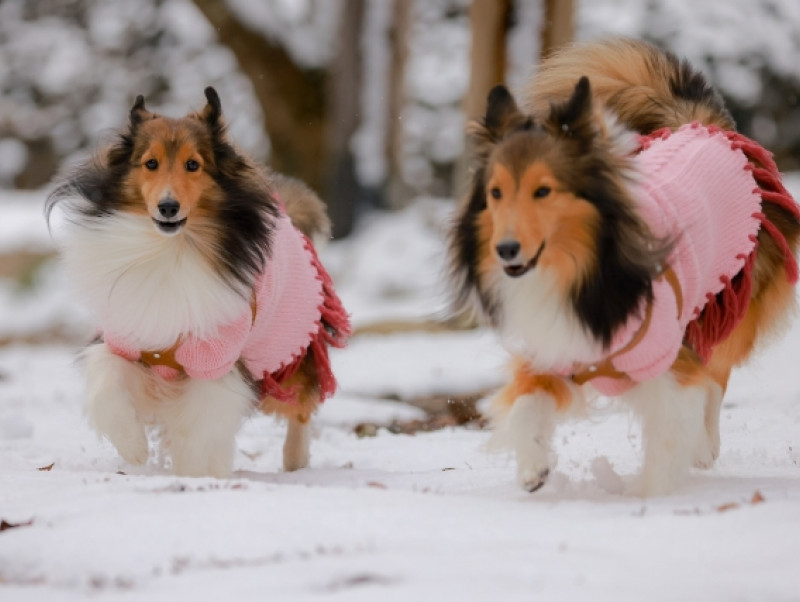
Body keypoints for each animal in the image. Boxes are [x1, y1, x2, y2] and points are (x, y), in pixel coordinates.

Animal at [46, 86, 350, 476]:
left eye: (193, 165)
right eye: (150, 163)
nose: (168, 208)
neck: (170, 250)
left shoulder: (216, 361)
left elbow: (199, 428)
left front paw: (195, 475)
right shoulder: (127, 337)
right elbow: (106, 387)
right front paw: (134, 449)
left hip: (288, 349)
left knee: (301, 408)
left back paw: (296, 461)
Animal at [450, 39, 800, 494]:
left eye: (543, 191)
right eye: (495, 193)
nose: (505, 249)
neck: (582, 275)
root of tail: (703, 126)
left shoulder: (671, 361)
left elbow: (670, 429)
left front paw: (645, 496)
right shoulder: (558, 346)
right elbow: (526, 403)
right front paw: (533, 468)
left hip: (730, 303)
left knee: (717, 375)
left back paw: (706, 448)